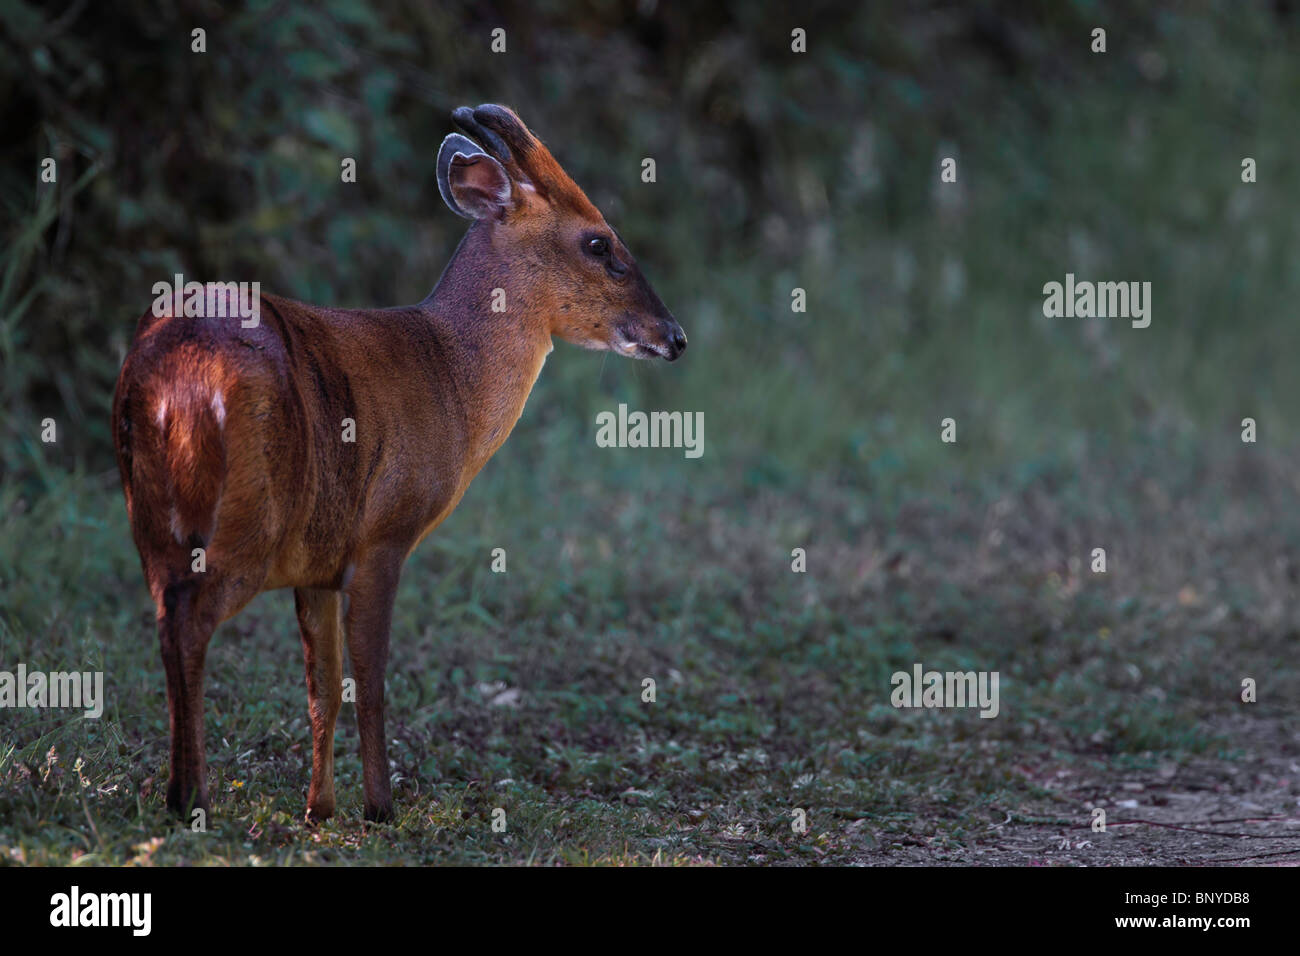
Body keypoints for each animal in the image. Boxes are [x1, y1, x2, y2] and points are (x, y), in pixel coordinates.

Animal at [111, 104, 686, 822]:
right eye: (599, 243)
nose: (675, 336)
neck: (449, 375)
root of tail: (175, 379)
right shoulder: (383, 533)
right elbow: (372, 679)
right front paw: (380, 807)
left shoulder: (318, 559)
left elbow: (323, 686)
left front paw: (320, 808)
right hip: (248, 520)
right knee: (189, 623)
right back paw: (191, 799)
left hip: (154, 523)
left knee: (166, 623)